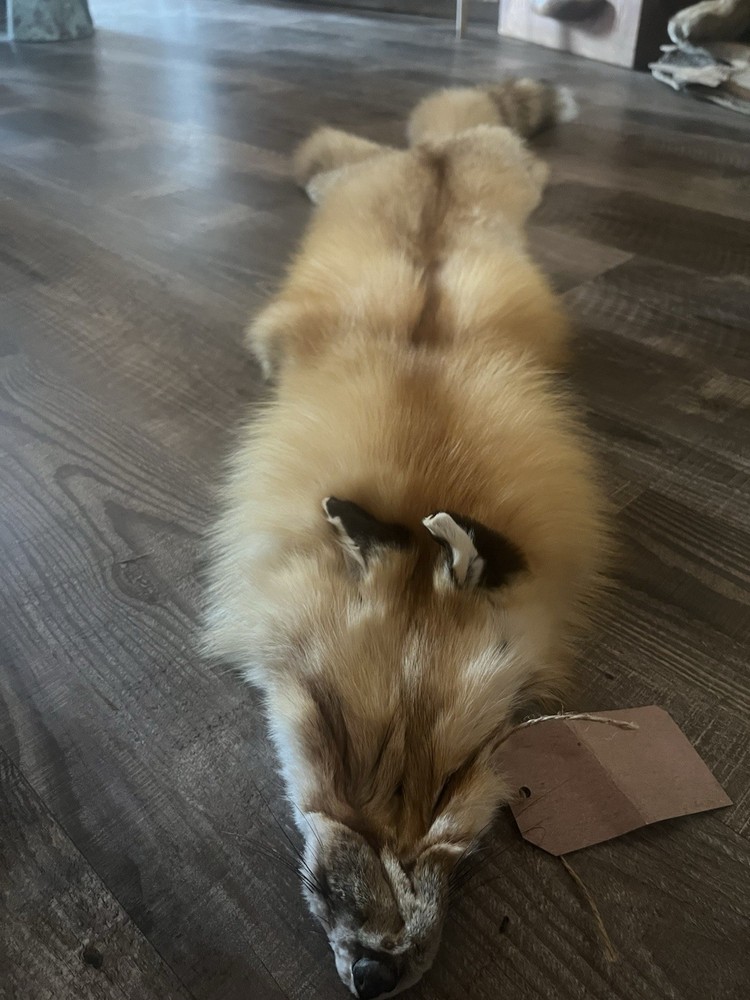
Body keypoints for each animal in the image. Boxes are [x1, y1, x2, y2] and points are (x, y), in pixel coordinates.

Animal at [205, 78, 608, 998]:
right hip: (385, 176)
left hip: (511, 178)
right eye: (336, 746)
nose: (376, 971)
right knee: (348, 152)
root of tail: (432, 161)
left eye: (453, 787)